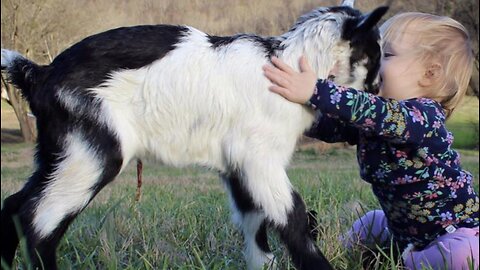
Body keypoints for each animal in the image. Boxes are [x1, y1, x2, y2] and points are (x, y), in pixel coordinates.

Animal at [0, 1, 388, 268]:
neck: (290, 64)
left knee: (15, 204)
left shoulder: (237, 164)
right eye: (373, 57)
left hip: (59, 148)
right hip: (94, 149)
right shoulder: (259, 158)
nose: (378, 90)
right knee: (39, 220)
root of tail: (38, 73)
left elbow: (254, 223)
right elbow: (292, 217)